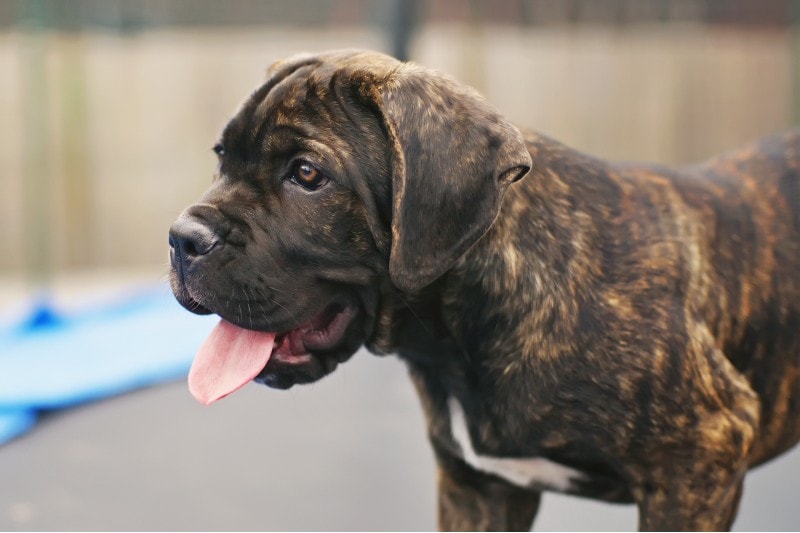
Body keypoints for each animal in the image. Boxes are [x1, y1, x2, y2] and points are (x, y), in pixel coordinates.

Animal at [166, 48, 796, 528]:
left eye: (306, 174)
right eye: (221, 157)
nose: (182, 238)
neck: (458, 338)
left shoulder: (699, 458)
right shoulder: (478, 490)